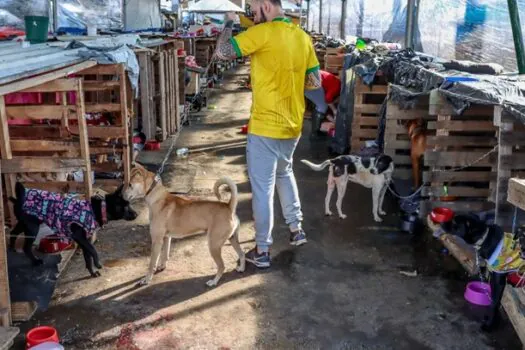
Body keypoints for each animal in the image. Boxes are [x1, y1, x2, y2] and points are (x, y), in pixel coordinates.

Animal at [9, 182, 137, 278]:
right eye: (126, 206)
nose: (136, 214)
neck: (99, 209)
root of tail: (19, 197)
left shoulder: (86, 240)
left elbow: (88, 256)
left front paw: (92, 272)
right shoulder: (80, 237)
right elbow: (93, 250)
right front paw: (97, 264)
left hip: (24, 223)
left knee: (12, 233)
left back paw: (11, 248)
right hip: (32, 227)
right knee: (26, 247)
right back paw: (35, 261)